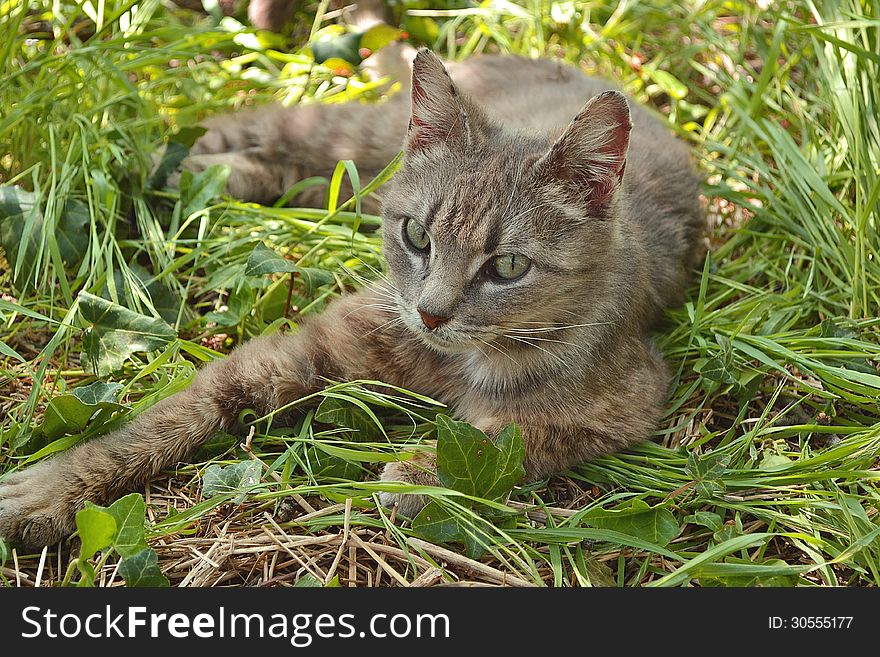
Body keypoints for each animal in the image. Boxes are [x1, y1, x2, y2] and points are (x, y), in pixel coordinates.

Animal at [0, 47, 700, 548]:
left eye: (508, 266)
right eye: (416, 235)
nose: (431, 313)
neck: (451, 358)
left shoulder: (626, 399)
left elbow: (509, 435)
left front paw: (421, 473)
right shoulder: (302, 349)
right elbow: (168, 418)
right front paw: (51, 489)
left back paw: (206, 173)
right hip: (354, 134)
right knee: (257, 119)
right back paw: (146, 157)